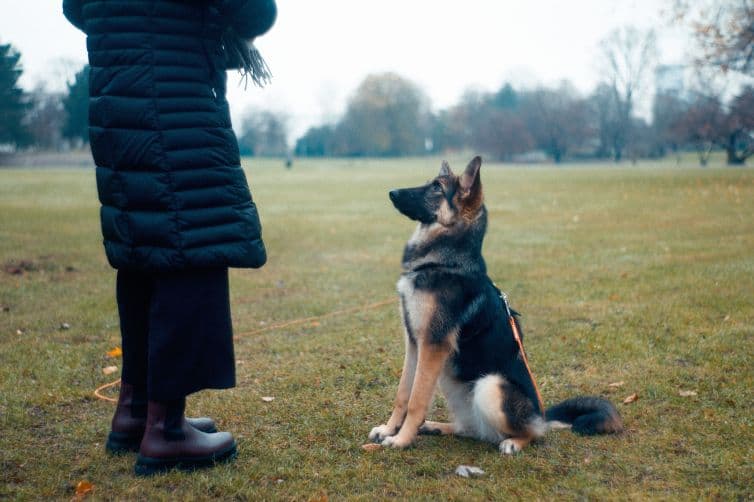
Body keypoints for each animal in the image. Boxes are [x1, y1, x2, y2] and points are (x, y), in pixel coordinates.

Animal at [368, 157, 620, 454]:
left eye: (437, 188)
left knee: (533, 433)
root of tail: (541, 415)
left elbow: (416, 400)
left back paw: (514, 442)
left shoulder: (433, 345)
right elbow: (403, 394)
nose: (391, 192)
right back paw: (437, 426)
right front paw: (389, 430)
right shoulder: (415, 343)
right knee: (471, 429)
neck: (444, 261)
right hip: (451, 381)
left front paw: (402, 439)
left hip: (490, 385)